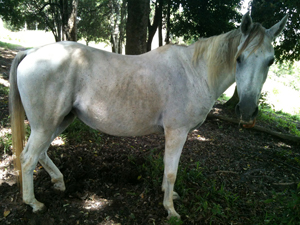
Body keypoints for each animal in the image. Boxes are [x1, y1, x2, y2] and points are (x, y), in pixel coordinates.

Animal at [8, 13, 286, 219]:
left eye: (271, 61)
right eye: (239, 58)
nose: (247, 109)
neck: (194, 73)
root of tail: (31, 52)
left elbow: (167, 168)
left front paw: (169, 195)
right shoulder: (177, 132)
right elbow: (172, 170)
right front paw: (171, 210)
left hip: (60, 120)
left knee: (41, 153)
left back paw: (59, 182)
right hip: (46, 124)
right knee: (28, 158)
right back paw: (34, 203)